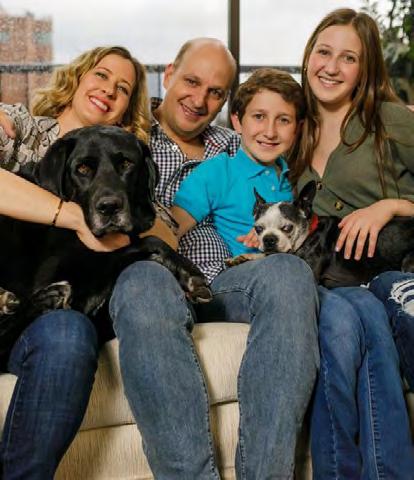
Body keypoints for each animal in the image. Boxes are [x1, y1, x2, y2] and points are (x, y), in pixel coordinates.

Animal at [0, 125, 211, 366]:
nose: (109, 207)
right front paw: (190, 272)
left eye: (126, 164)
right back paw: (47, 297)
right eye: (82, 168)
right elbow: (146, 242)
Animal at [227, 181, 414, 288]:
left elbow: (273, 255)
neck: (309, 232)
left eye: (287, 228)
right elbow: (267, 255)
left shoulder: (308, 267)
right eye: (258, 229)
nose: (269, 239)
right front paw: (242, 257)